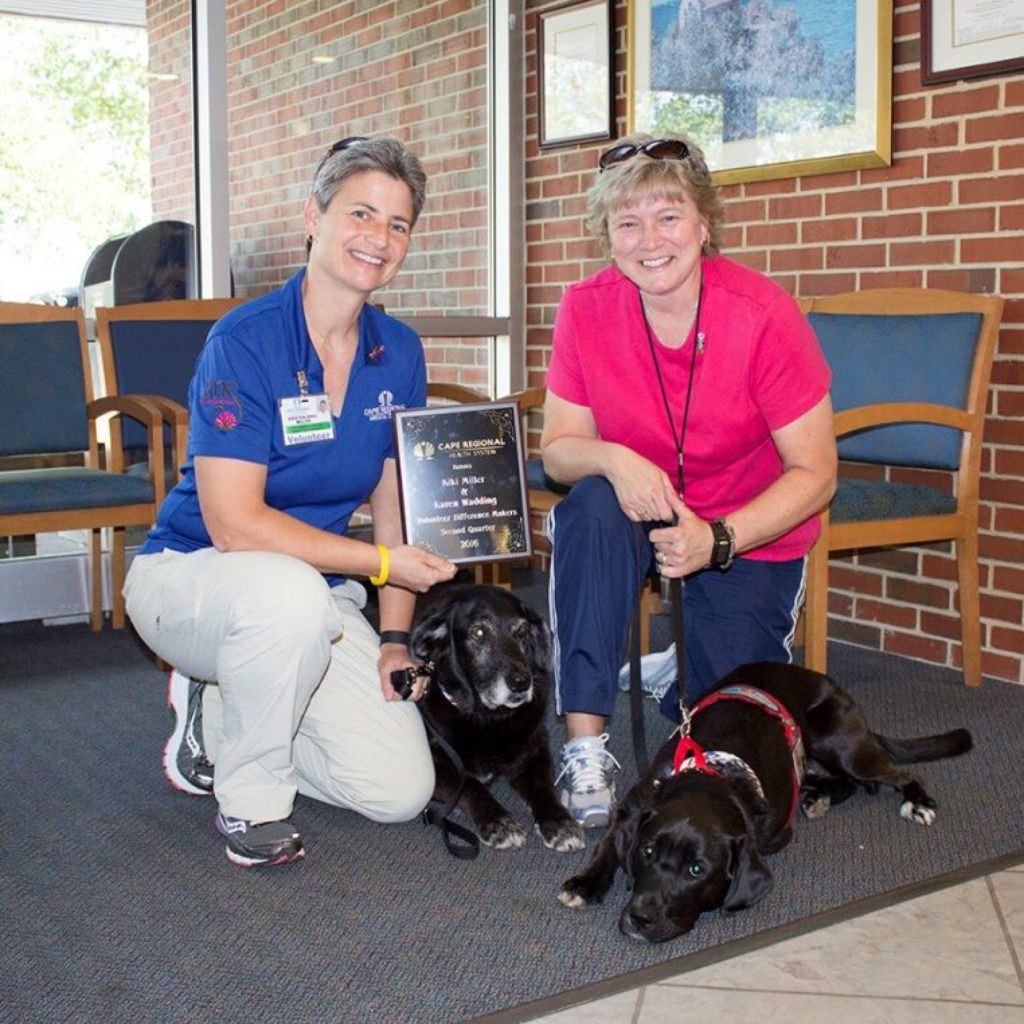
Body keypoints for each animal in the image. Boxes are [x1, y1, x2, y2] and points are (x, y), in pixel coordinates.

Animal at [409, 585, 585, 856]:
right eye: (479, 633)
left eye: (522, 631)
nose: (521, 683)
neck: (488, 718)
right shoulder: (436, 767)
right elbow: (471, 784)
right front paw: (500, 823)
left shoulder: (534, 751)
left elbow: (543, 788)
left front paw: (560, 823)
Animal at [565, 663, 970, 942]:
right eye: (647, 852)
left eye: (697, 870)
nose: (641, 919)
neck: (710, 776)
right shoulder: (633, 806)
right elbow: (607, 845)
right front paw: (585, 884)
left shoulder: (775, 834)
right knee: (849, 783)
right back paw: (819, 797)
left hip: (842, 744)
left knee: (896, 775)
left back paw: (918, 803)